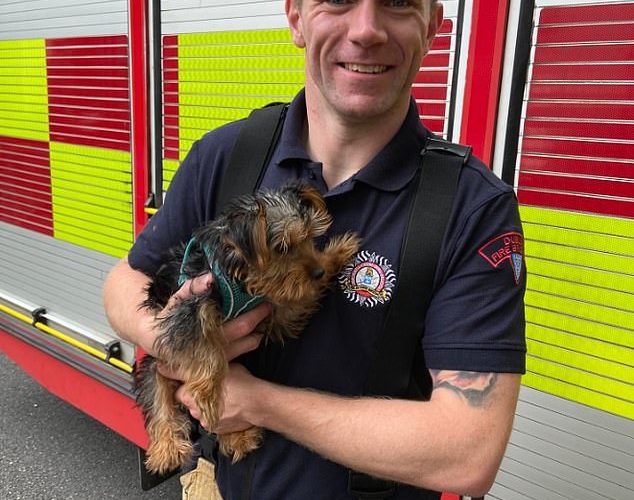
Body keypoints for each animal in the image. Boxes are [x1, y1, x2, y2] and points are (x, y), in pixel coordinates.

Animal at [134, 183, 360, 475]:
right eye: (283, 247)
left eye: (310, 237)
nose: (318, 272)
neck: (239, 273)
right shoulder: (190, 305)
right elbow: (207, 350)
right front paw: (207, 396)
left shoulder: (274, 311)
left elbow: (294, 304)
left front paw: (336, 255)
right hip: (156, 363)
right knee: (158, 399)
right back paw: (167, 449)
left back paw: (238, 437)